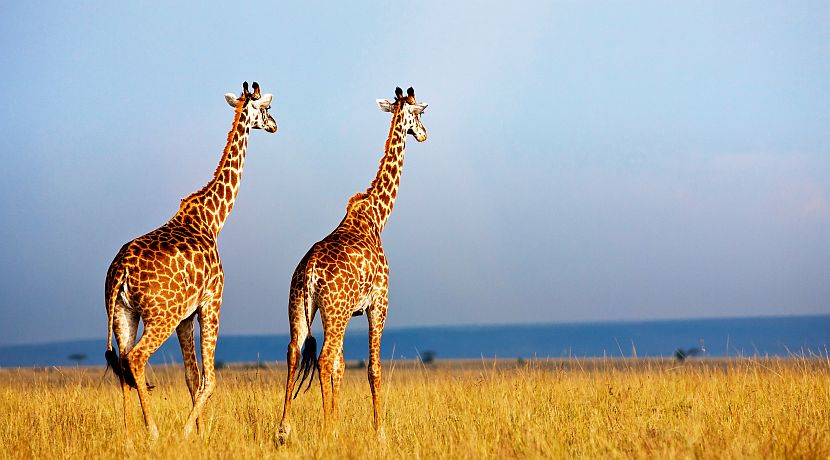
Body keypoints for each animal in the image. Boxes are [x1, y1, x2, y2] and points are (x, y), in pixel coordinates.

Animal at [104, 81, 277, 442]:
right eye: (267, 107)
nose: (274, 125)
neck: (213, 218)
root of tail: (119, 272)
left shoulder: (186, 316)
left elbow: (192, 378)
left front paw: (198, 432)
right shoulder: (212, 300)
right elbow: (209, 380)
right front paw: (188, 432)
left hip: (123, 315)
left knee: (123, 364)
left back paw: (128, 436)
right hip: (161, 316)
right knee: (136, 358)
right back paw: (153, 432)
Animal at [277, 86, 428, 441]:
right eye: (420, 113)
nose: (425, 134)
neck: (376, 217)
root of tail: (310, 269)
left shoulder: (350, 312)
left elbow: (342, 367)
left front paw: (338, 421)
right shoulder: (379, 303)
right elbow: (372, 368)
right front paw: (378, 431)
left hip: (301, 306)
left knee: (295, 352)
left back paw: (284, 428)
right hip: (334, 310)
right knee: (323, 358)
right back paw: (324, 429)